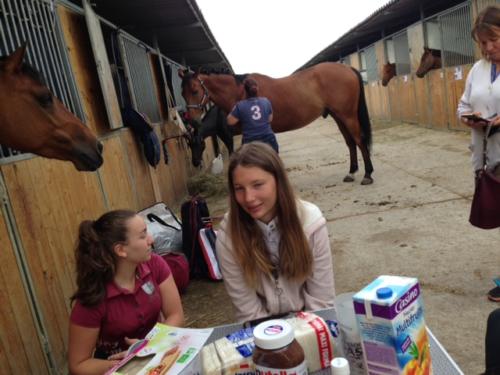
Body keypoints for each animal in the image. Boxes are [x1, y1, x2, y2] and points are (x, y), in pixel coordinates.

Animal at [178, 62, 374, 185]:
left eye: (195, 90)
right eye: (182, 93)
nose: (192, 120)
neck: (241, 93)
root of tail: (347, 68)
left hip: (348, 115)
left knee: (359, 140)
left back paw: (367, 174)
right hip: (339, 116)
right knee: (350, 142)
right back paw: (351, 173)